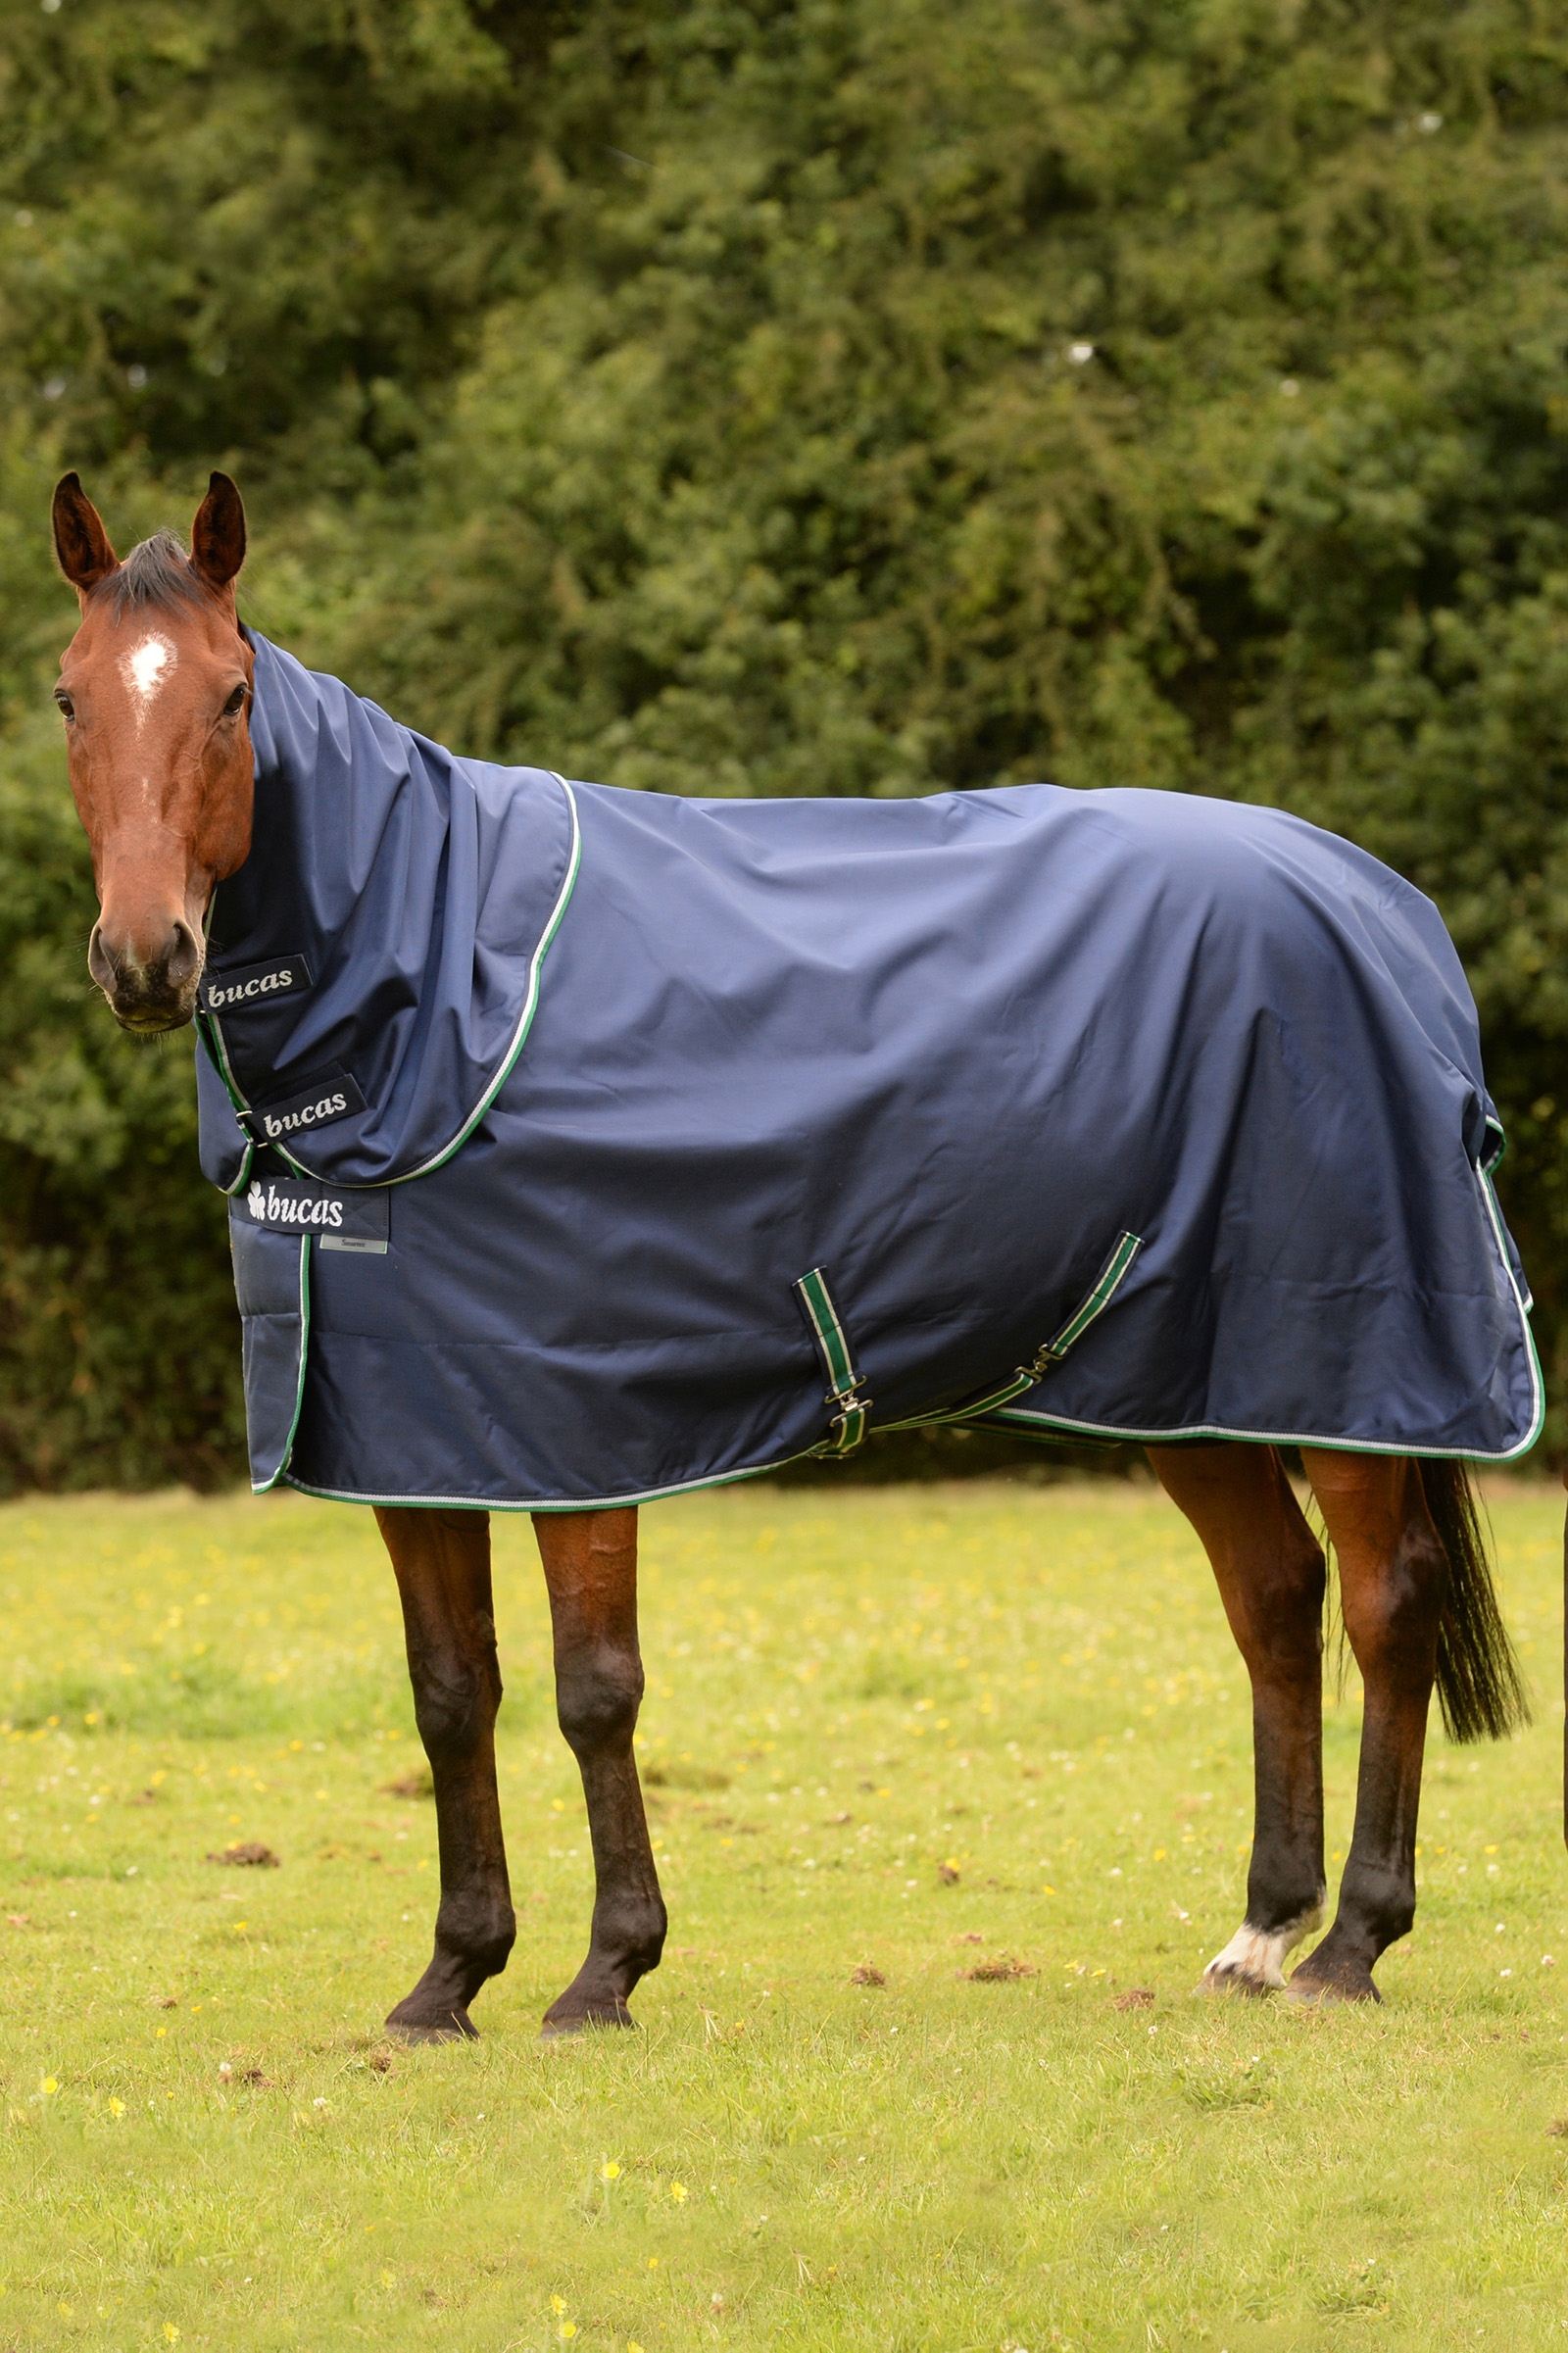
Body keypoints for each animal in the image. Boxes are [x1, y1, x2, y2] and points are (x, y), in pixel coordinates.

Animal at [48, 468, 1536, 2041]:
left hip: (1352, 1357)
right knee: (1275, 1600)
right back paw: (1259, 1931)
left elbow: (593, 1688)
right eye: (71, 696)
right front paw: (450, 1977)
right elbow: (450, 1692)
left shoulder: (580, 1422)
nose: (145, 958)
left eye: (227, 697)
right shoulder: (412, 1424)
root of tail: (1382, 907)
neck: (440, 984)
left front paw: (606, 1969)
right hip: (1189, 1371)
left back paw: (1350, 1945)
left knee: (1385, 1605)